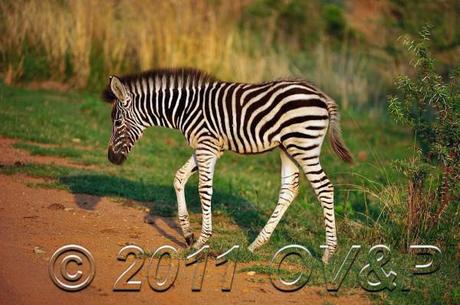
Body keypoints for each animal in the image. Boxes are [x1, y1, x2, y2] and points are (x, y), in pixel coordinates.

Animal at [101, 67, 352, 262]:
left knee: (324, 188)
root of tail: (322, 96)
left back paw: (328, 253)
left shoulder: (206, 146)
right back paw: (256, 244)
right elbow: (179, 177)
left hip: (303, 146)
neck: (183, 109)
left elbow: (203, 189)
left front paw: (202, 240)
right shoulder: (207, 148)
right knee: (289, 189)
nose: (112, 158)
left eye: (118, 122)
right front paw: (188, 235)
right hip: (288, 148)